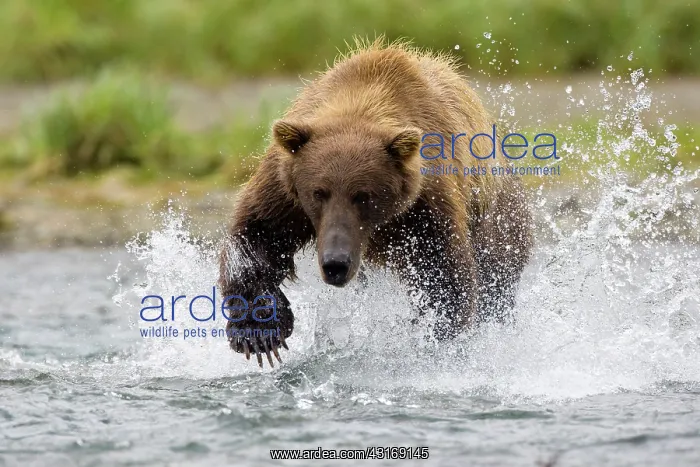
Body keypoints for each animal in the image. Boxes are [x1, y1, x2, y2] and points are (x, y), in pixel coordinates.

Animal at [218, 38, 532, 368]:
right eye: (319, 192)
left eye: (363, 196)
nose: (335, 263)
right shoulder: (285, 188)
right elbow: (256, 234)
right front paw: (260, 332)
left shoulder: (426, 203)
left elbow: (442, 271)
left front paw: (437, 333)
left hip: (498, 220)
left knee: (497, 278)